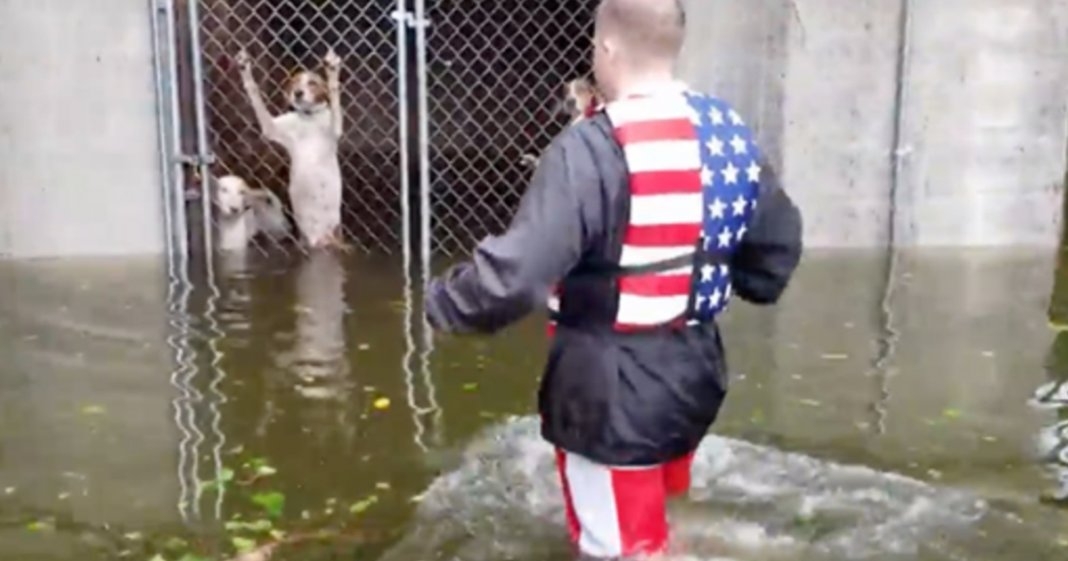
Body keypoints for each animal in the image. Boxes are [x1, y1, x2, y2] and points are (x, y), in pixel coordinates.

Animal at [236, 47, 348, 248]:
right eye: (294, 82)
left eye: (312, 83)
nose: (298, 93)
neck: (309, 118)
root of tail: (317, 239)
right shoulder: (271, 129)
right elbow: (255, 95)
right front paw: (246, 72)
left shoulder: (335, 128)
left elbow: (335, 97)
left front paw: (332, 73)